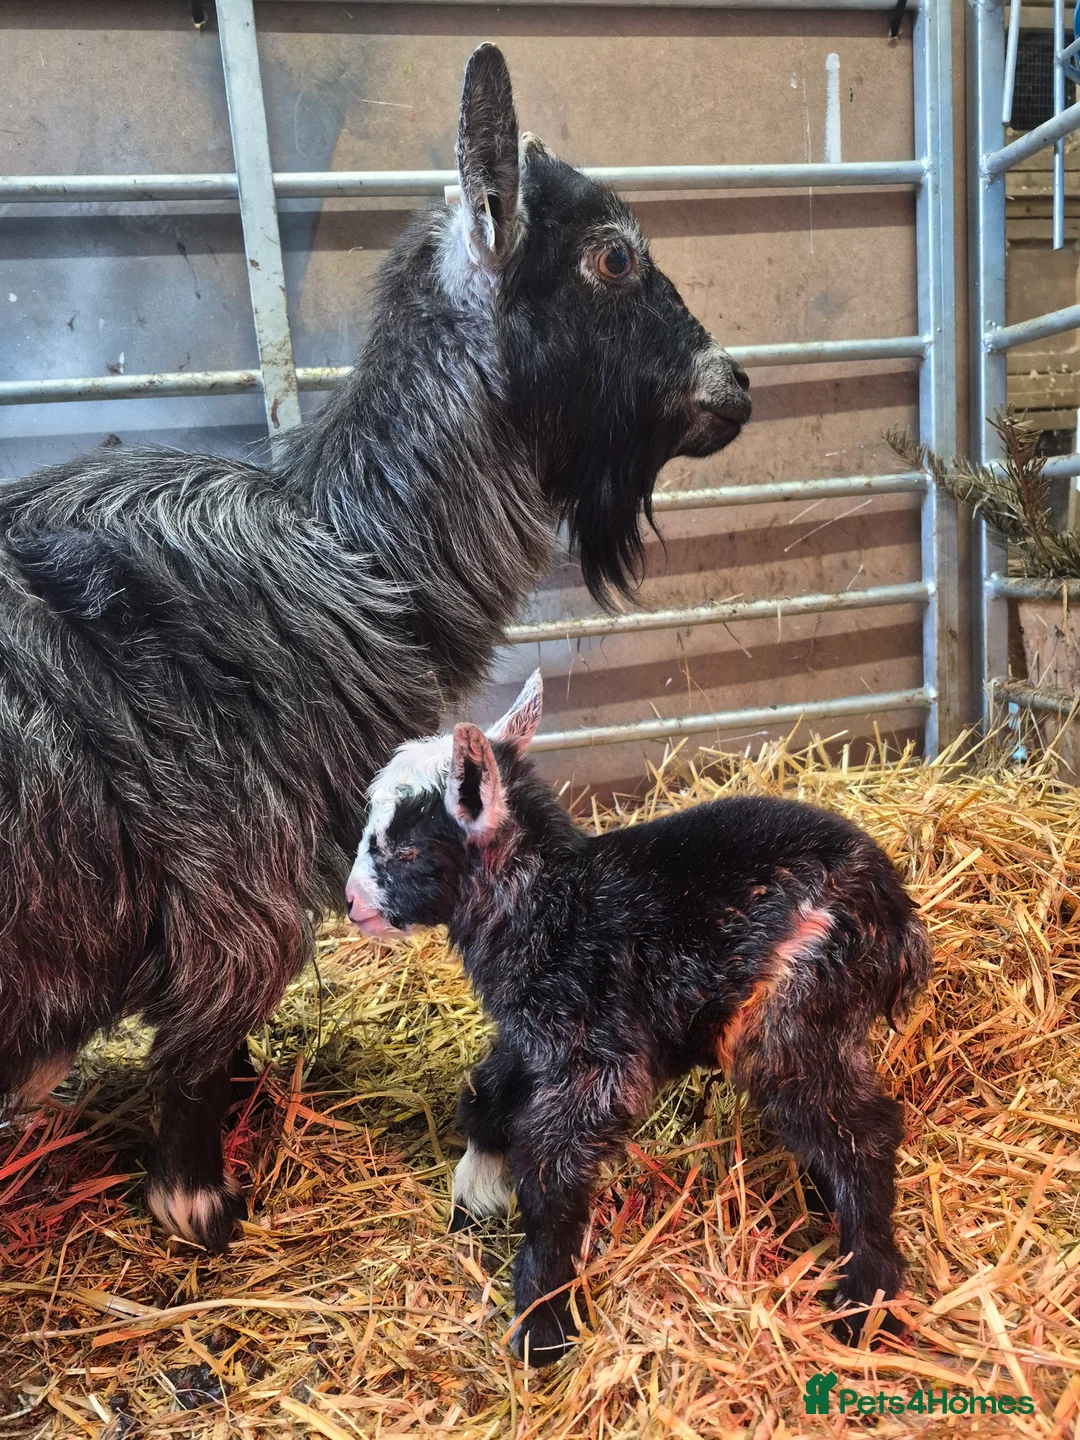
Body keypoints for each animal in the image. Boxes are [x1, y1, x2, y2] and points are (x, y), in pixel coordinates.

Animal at [0, 45, 750, 1251]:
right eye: (612, 254)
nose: (736, 386)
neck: (350, 555)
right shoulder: (236, 898)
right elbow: (196, 1055)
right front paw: (199, 1204)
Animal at [346, 672, 932, 1364]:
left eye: (407, 849)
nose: (351, 903)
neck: (554, 904)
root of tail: (898, 920)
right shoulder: (534, 1036)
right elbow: (485, 1098)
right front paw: (473, 1196)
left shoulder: (597, 1052)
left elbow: (549, 1166)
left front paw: (543, 1322)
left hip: (795, 1009)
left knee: (861, 1134)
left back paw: (864, 1299)